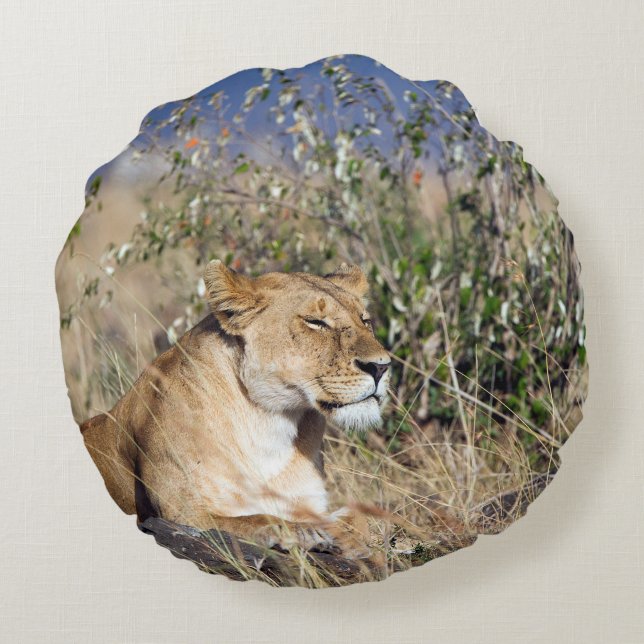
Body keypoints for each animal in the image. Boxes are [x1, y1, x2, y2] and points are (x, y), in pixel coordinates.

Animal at [80, 260, 391, 554]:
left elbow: (360, 517)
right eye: (315, 322)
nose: (381, 367)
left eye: (365, 320)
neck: (270, 423)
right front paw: (304, 533)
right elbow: (257, 519)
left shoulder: (310, 502)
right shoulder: (181, 515)